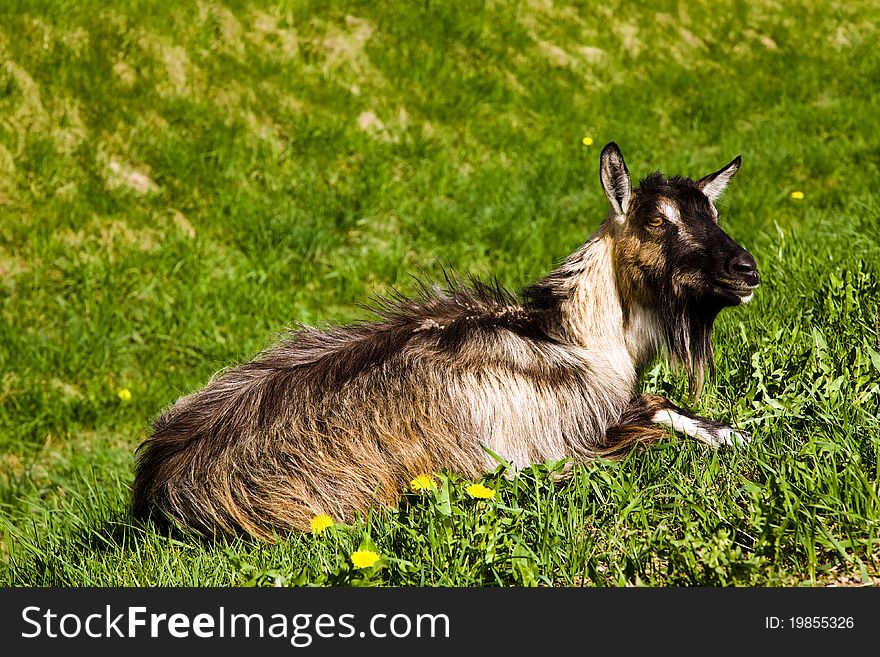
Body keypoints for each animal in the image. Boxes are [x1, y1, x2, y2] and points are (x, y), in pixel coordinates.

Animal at [134, 142, 760, 540]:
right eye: (657, 221)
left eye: (714, 211)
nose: (746, 270)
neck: (577, 340)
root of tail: (158, 490)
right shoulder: (543, 447)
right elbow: (654, 419)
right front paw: (730, 435)